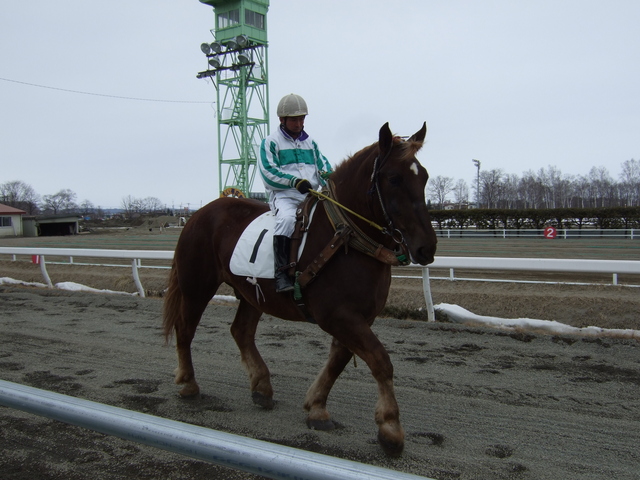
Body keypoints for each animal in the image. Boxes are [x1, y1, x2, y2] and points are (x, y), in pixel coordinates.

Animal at [162, 122, 437, 456]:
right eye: (394, 178)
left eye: (424, 177)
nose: (426, 248)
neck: (345, 238)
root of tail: (201, 213)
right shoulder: (337, 315)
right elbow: (380, 360)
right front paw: (390, 428)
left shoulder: (359, 317)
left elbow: (338, 361)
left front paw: (317, 407)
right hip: (196, 286)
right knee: (185, 329)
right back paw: (189, 384)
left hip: (252, 294)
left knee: (241, 331)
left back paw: (262, 386)